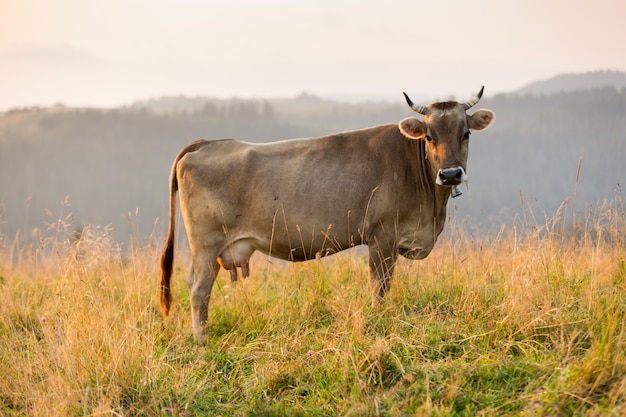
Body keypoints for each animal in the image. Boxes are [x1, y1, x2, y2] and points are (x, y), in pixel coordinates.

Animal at [160, 87, 492, 342]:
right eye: (429, 137)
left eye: (465, 134)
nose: (450, 174)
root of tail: (206, 143)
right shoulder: (382, 236)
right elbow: (379, 285)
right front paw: (380, 320)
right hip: (205, 244)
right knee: (198, 289)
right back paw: (201, 340)